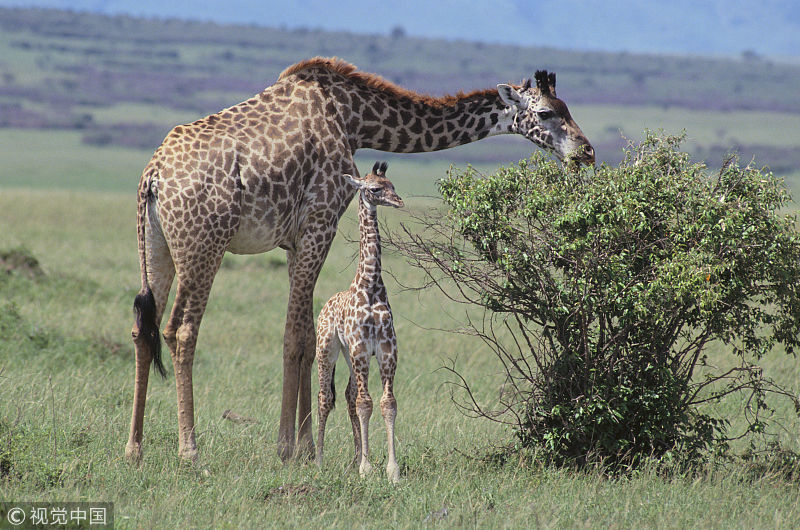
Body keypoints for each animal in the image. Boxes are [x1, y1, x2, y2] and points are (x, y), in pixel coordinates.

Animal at [316, 159, 404, 480]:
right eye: (375, 189)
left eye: (393, 185)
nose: (399, 201)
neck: (370, 286)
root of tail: (325, 305)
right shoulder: (361, 349)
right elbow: (365, 403)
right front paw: (367, 469)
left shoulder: (386, 350)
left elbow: (387, 403)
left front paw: (391, 469)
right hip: (328, 349)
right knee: (325, 398)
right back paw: (319, 460)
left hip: (349, 355)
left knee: (348, 394)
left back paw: (354, 458)